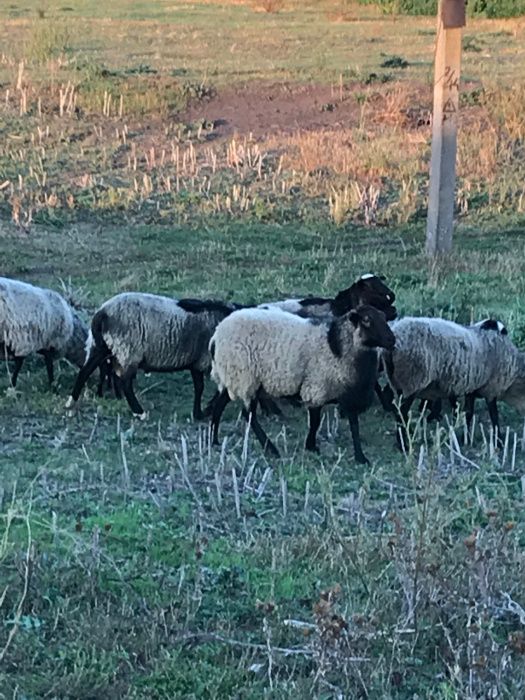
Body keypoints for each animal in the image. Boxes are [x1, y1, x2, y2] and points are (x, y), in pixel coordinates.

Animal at [66, 292, 244, 418]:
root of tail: (102, 312)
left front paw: (204, 410)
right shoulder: (201, 360)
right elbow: (201, 388)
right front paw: (201, 412)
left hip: (103, 346)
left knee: (85, 371)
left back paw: (71, 403)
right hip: (128, 349)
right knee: (125, 382)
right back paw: (139, 412)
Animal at [208, 304, 392, 464]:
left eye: (383, 317)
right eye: (366, 320)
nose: (392, 340)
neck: (336, 347)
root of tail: (216, 336)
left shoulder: (348, 394)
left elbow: (354, 426)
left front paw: (361, 457)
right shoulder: (316, 388)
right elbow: (316, 421)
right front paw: (311, 446)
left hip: (232, 377)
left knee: (220, 405)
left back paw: (214, 439)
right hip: (244, 376)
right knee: (248, 414)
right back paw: (270, 448)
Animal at [380, 318, 524, 448]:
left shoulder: (472, 387)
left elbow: (468, 413)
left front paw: (466, 439)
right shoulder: (491, 388)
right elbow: (494, 416)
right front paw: (499, 442)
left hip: (398, 382)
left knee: (398, 409)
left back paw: (409, 433)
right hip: (413, 380)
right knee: (401, 413)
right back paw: (403, 445)